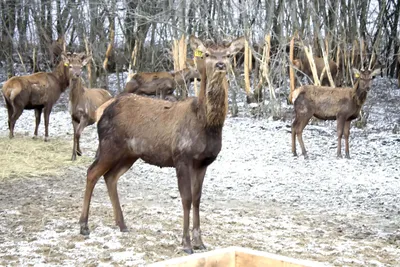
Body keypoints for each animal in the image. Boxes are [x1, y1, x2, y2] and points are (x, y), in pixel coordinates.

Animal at [79, 34, 244, 254]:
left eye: (228, 55)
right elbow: (186, 198)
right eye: (207, 53)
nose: (220, 65)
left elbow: (198, 198)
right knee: (92, 172)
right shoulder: (181, 156)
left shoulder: (203, 162)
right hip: (109, 145)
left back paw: (122, 224)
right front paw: (186, 244)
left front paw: (200, 242)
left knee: (110, 177)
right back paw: (84, 226)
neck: (206, 123)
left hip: (129, 153)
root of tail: (103, 111)